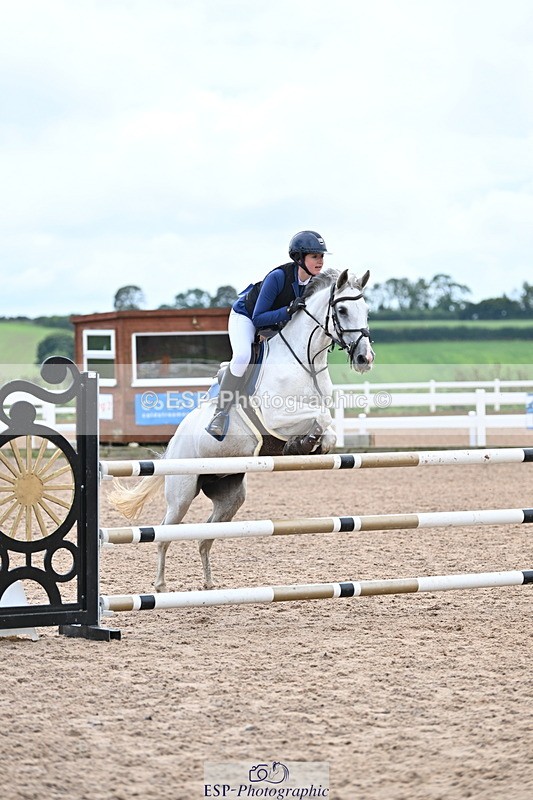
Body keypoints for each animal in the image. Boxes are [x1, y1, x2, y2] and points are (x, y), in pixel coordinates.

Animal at [108, 268, 374, 591]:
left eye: (366, 311)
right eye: (343, 310)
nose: (365, 359)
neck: (305, 361)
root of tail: (173, 444)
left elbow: (329, 427)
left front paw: (308, 445)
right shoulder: (275, 416)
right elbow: (321, 418)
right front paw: (301, 443)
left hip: (230, 495)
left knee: (205, 539)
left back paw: (209, 585)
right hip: (182, 493)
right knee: (163, 535)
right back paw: (160, 586)